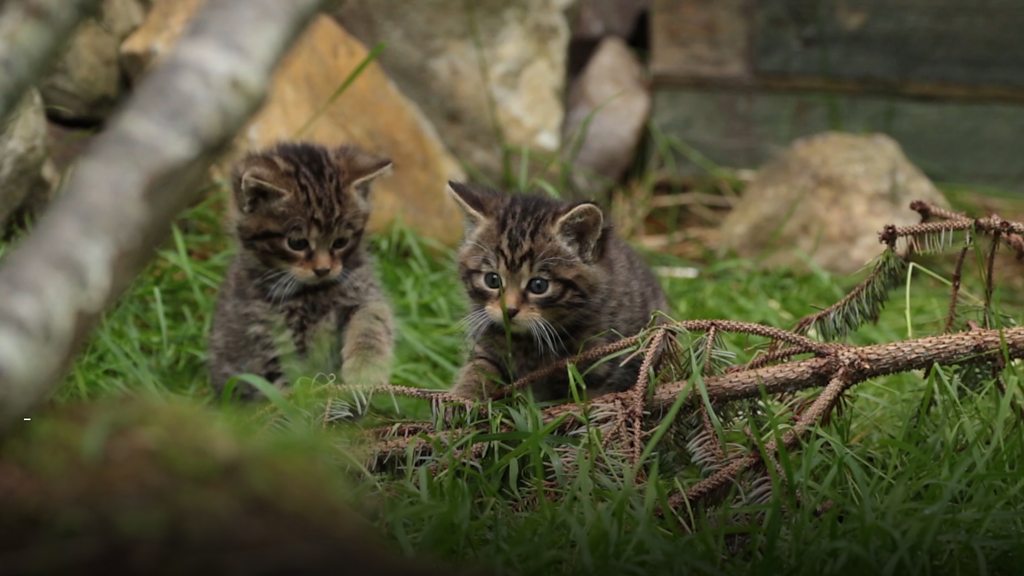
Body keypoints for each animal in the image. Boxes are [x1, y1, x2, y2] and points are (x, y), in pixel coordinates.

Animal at [208, 141, 395, 397]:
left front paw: (366, 369)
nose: (323, 269)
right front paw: (300, 402)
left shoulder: (365, 292)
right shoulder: (266, 337)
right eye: (297, 243)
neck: (313, 292)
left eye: (340, 242)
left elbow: (371, 320)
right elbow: (281, 387)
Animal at [450, 180, 671, 399]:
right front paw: (460, 400)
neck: (526, 341)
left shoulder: (599, 367)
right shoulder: (485, 342)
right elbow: (478, 369)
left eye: (539, 285)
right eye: (492, 280)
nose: (509, 311)